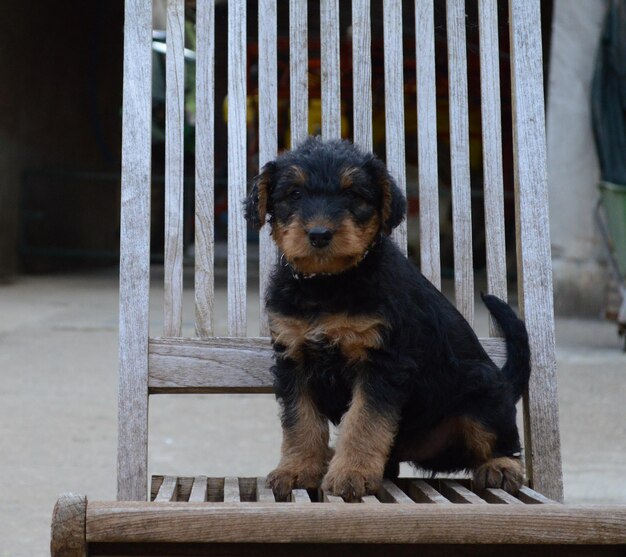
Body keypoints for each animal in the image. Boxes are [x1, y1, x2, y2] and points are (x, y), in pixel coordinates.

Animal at [243, 138, 528, 500]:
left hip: (481, 391)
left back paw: (501, 467)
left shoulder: (382, 362)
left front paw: (351, 474)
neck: (327, 284)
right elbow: (300, 421)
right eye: (293, 194)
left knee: (500, 438)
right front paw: (297, 469)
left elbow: (364, 421)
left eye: (353, 194)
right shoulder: (293, 359)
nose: (319, 234)